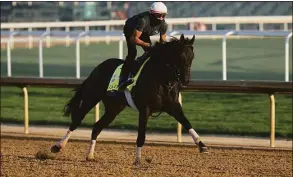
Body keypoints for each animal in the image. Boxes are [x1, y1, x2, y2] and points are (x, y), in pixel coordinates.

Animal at [52, 33, 208, 165]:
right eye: (180, 57)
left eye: (192, 57)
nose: (186, 80)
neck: (161, 78)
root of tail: (98, 67)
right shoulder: (145, 109)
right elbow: (141, 135)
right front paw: (137, 160)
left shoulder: (173, 106)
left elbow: (187, 123)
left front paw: (202, 145)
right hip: (91, 97)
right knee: (76, 121)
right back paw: (58, 146)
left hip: (113, 109)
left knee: (96, 127)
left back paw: (90, 155)